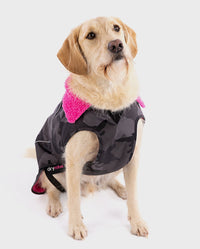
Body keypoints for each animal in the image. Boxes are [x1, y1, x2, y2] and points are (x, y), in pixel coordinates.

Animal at [30, 17, 148, 239]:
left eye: (116, 28)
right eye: (90, 35)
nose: (117, 44)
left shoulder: (132, 155)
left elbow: (135, 195)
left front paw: (137, 220)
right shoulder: (74, 161)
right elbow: (74, 199)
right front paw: (76, 225)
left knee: (109, 180)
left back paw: (121, 188)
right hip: (51, 168)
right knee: (51, 187)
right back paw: (54, 204)